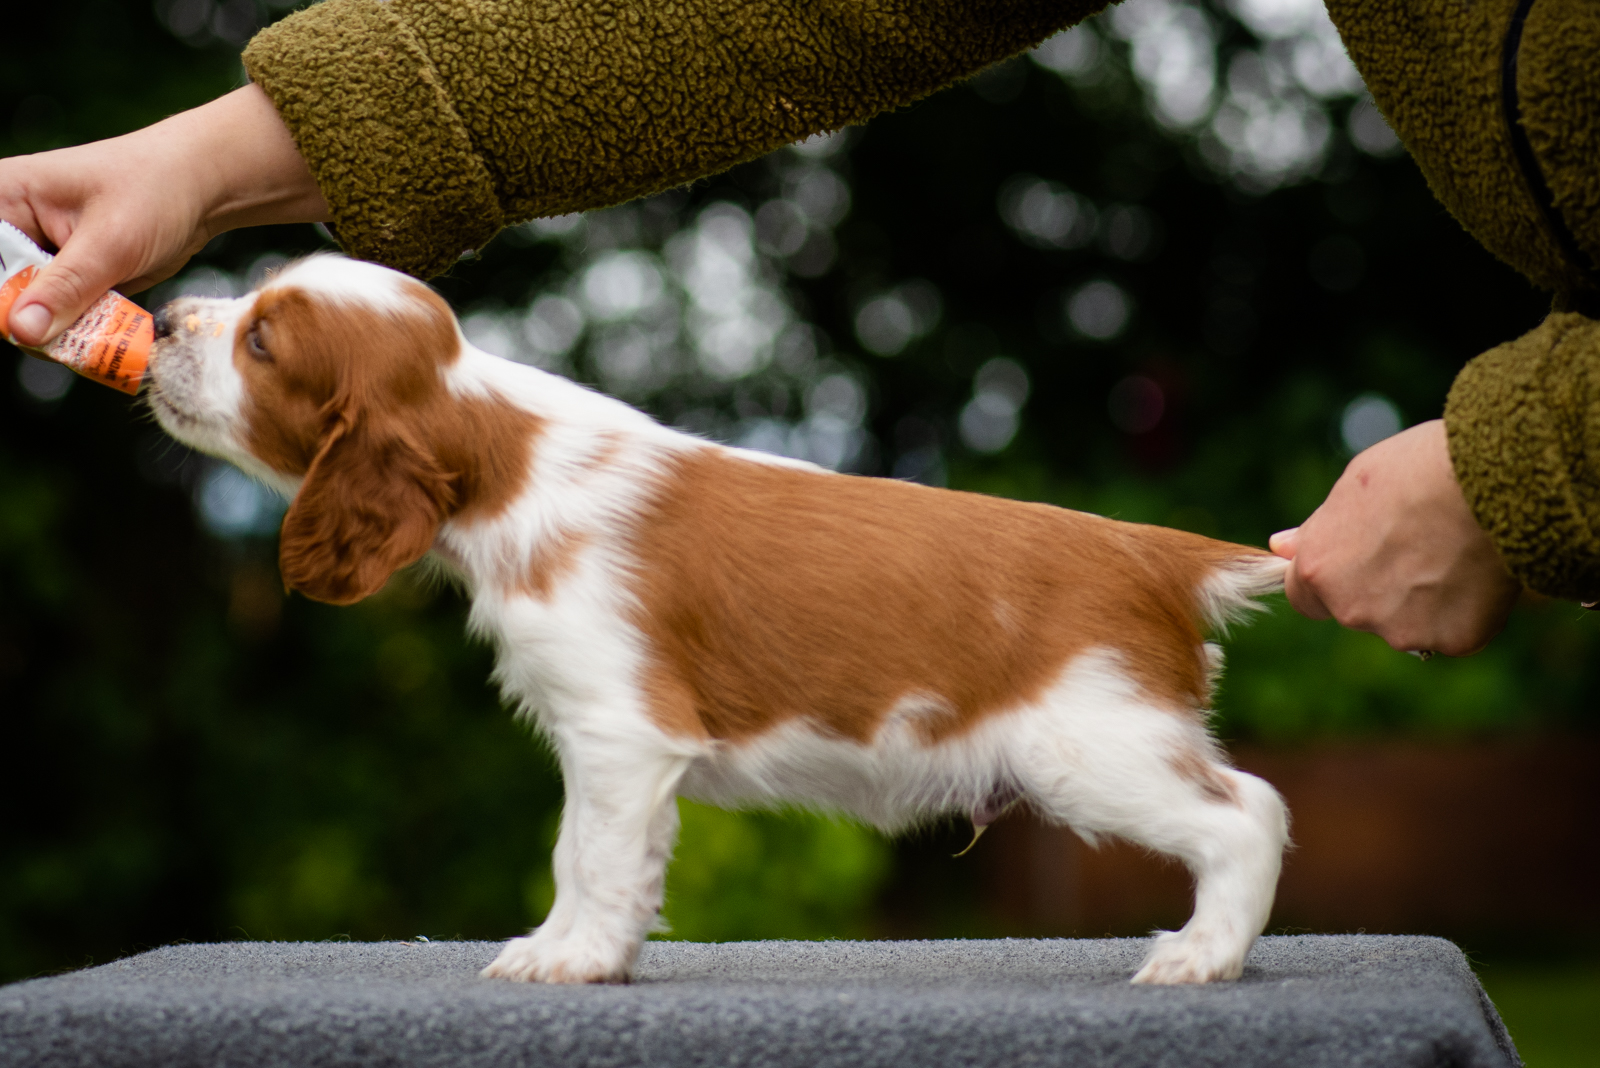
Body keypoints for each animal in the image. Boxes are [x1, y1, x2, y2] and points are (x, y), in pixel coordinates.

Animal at [144, 254, 1292, 991]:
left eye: (261, 341)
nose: (159, 317)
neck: (509, 455)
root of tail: (1154, 551)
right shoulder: (602, 746)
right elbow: (580, 854)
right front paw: (570, 949)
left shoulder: (620, 732)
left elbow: (591, 855)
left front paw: (572, 961)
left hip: (1090, 746)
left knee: (1248, 812)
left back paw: (1201, 956)